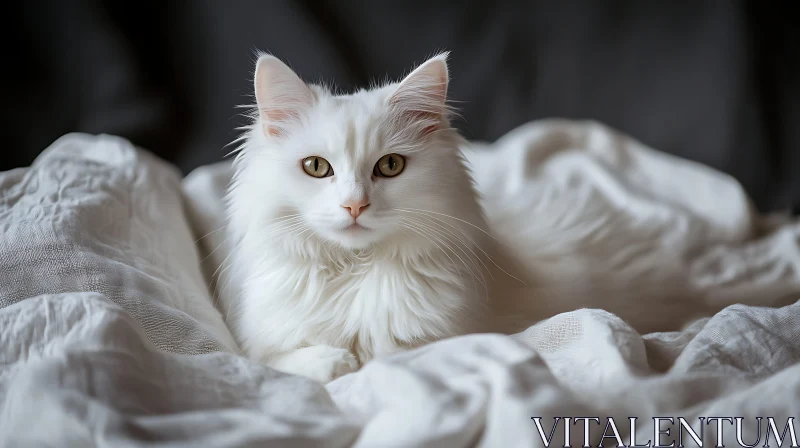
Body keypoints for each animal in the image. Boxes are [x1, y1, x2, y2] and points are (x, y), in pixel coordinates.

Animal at [223, 51, 506, 382]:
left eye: (391, 165)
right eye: (316, 166)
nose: (355, 205)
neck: (354, 268)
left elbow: (396, 356)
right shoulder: (258, 347)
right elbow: (283, 360)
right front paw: (337, 361)